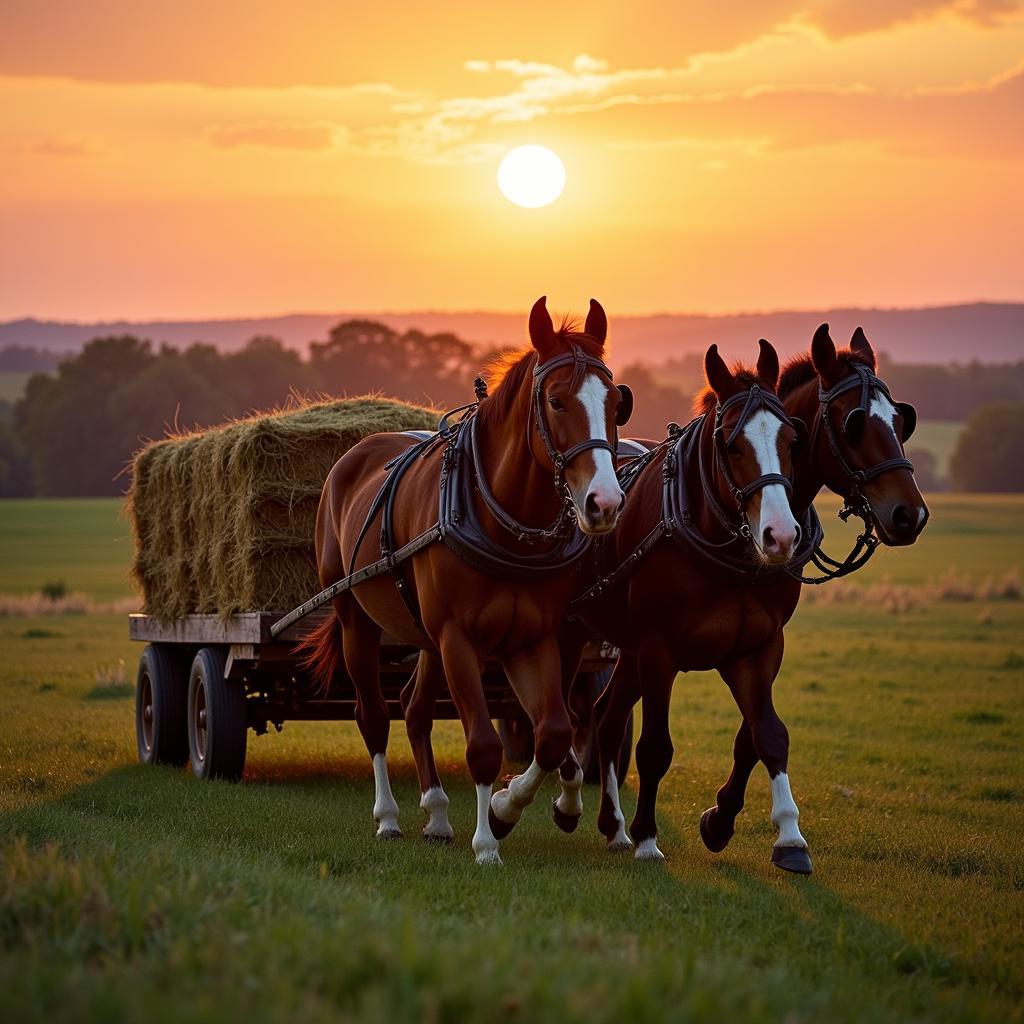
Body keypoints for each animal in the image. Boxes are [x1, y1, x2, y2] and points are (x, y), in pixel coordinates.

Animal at [299, 296, 630, 864]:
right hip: (356, 620)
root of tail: (354, 455)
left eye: (614, 403)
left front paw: (506, 808)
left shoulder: (532, 639)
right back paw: (389, 817)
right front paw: (487, 840)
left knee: (413, 708)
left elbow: (553, 731)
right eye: (557, 402)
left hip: (427, 639)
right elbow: (482, 745)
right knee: (374, 716)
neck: (505, 524)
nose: (603, 503)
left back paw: (435, 814)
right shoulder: (459, 638)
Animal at [585, 327, 929, 872]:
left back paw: (610, 824)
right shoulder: (660, 648)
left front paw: (765, 830)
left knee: (605, 716)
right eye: (853, 424)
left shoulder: (757, 645)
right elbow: (656, 747)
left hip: (631, 650)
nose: (909, 515)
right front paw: (648, 838)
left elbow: (763, 734)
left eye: (900, 420)